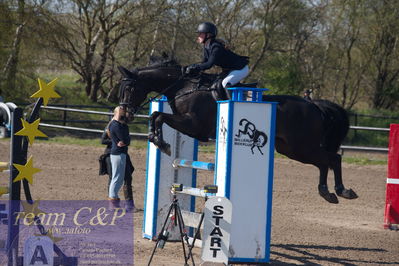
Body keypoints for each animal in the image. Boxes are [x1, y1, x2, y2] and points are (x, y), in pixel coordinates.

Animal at [117, 56, 358, 204]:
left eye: (129, 88)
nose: (125, 115)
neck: (184, 87)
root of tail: (314, 105)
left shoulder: (192, 124)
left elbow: (159, 116)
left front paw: (162, 143)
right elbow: (156, 116)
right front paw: (157, 139)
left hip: (302, 146)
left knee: (332, 158)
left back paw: (340, 191)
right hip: (291, 149)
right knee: (325, 162)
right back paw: (330, 192)